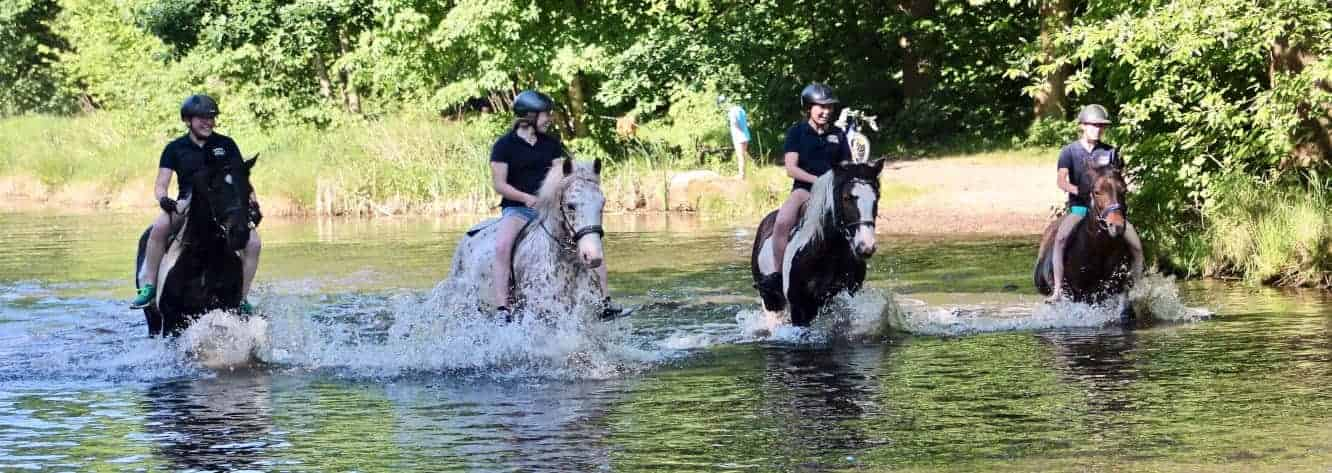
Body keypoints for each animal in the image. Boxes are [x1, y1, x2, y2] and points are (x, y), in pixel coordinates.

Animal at [134, 155, 257, 337]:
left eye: (248, 190)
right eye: (213, 189)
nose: (239, 233)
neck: (204, 258)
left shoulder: (228, 310)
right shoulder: (172, 320)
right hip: (153, 318)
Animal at [1028, 165, 1134, 307]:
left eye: (1124, 190)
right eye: (1097, 192)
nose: (1117, 226)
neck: (1097, 248)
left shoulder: (1107, 291)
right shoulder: (1075, 293)